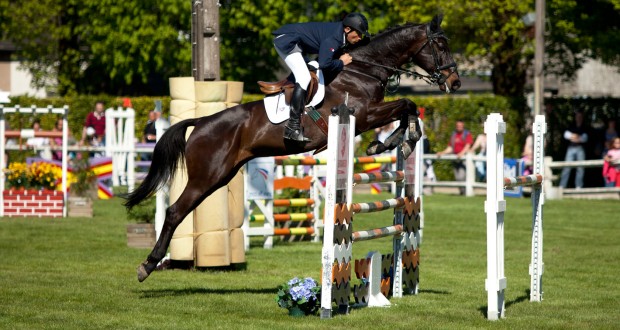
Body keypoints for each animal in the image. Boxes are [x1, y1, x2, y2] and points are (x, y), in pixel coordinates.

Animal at [124, 13, 460, 282]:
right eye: (441, 46)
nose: (455, 82)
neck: (362, 69)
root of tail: (203, 121)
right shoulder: (364, 115)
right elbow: (407, 103)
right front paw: (396, 142)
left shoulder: (370, 114)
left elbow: (407, 108)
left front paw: (393, 142)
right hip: (206, 176)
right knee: (174, 212)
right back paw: (147, 265)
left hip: (220, 176)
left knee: (181, 210)